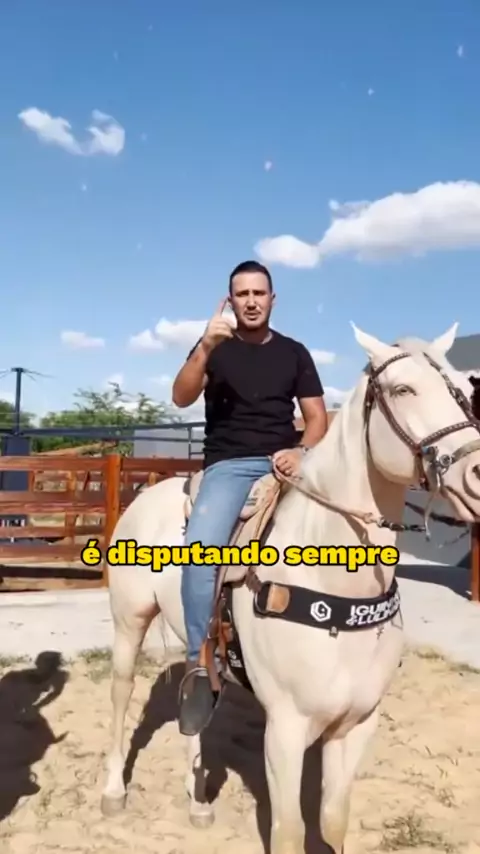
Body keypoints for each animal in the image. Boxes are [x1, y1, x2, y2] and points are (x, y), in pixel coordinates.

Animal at [100, 322, 480, 854]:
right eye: (403, 389)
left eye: (465, 389)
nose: (476, 474)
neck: (333, 587)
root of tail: (149, 491)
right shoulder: (285, 728)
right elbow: (288, 830)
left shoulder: (356, 725)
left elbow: (333, 820)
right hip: (128, 621)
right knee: (121, 693)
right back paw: (114, 791)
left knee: (195, 699)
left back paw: (198, 800)